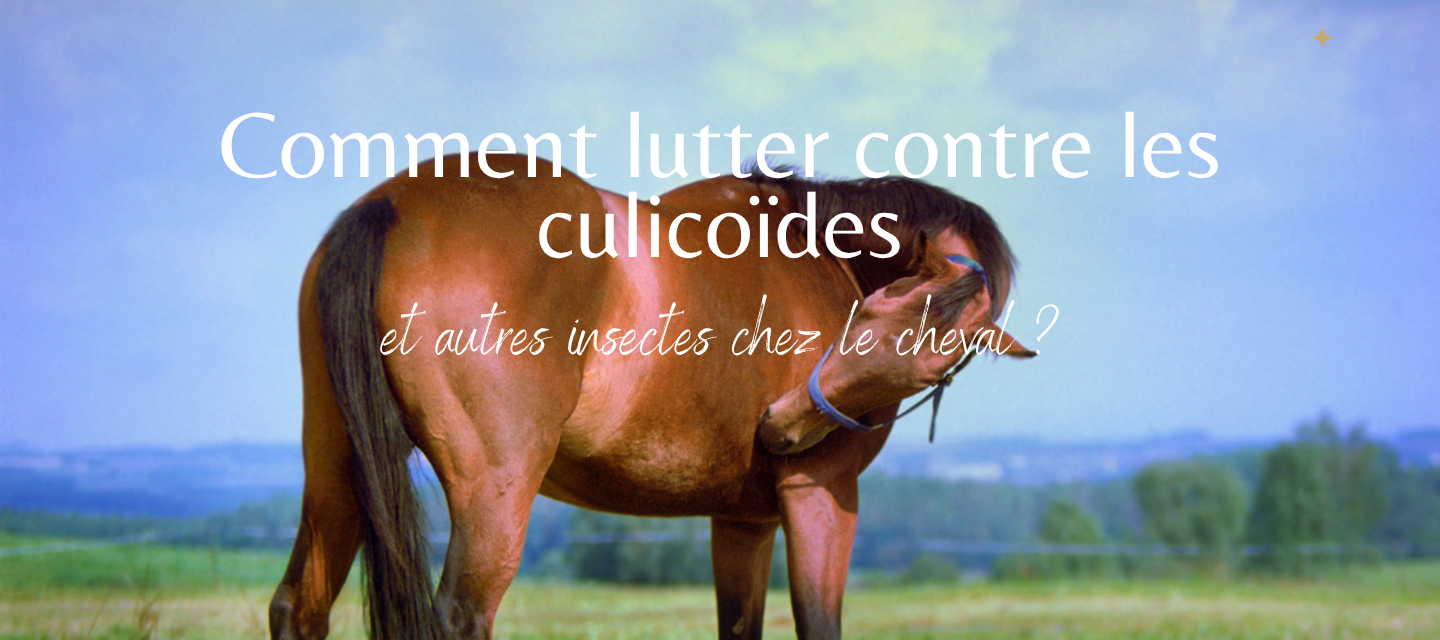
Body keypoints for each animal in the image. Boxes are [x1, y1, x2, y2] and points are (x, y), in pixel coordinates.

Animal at [267, 152, 1034, 640]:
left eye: (931, 368)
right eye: (875, 311)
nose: (781, 428)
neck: (818, 253)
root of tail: (391, 207)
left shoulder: (744, 520)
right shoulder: (821, 495)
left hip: (335, 471)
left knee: (297, 609)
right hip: (493, 491)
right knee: (459, 615)